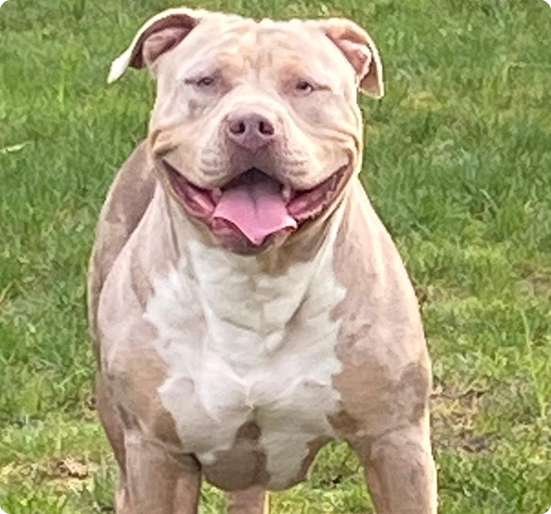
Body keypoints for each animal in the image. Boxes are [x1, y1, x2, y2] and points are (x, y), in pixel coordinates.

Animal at [88, 7, 437, 514]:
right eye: (205, 81)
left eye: (305, 86)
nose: (251, 123)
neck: (256, 286)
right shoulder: (159, 455)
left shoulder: (395, 441)